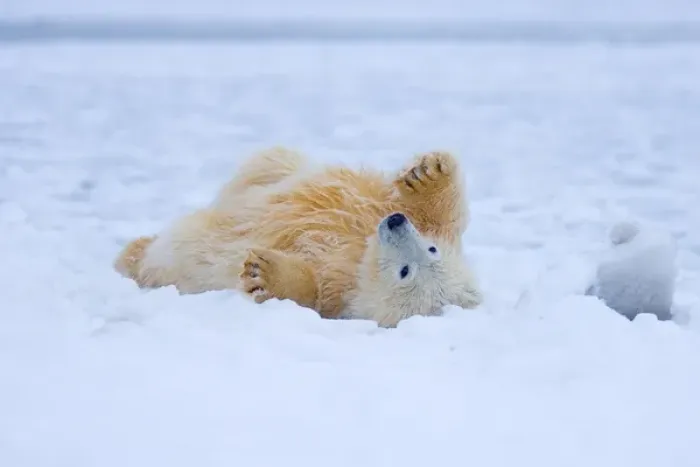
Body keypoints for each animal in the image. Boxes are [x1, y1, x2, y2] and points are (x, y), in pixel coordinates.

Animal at [114, 146, 482, 327]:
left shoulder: (339, 290)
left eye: (405, 272)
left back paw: (131, 254)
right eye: (431, 249)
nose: (394, 223)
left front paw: (264, 273)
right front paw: (429, 172)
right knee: (268, 164)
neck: (360, 256)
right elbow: (443, 215)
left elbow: (310, 289)